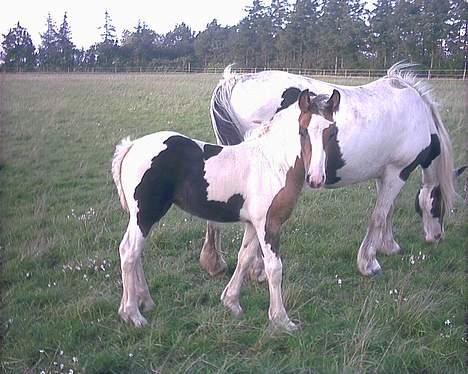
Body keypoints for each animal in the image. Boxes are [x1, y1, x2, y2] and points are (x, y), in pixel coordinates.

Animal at [112, 88, 340, 330]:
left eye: (332, 132)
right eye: (303, 131)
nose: (316, 178)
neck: (272, 163)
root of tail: (131, 146)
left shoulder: (253, 224)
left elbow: (245, 257)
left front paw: (231, 302)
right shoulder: (269, 224)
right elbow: (274, 268)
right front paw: (282, 320)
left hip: (142, 217)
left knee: (134, 253)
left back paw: (143, 302)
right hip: (145, 215)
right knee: (129, 252)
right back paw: (133, 314)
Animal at [198, 62, 464, 278]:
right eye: (440, 202)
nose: (437, 237)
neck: (417, 114)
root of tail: (236, 81)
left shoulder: (386, 173)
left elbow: (388, 211)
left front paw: (389, 246)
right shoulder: (398, 172)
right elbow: (379, 216)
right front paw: (368, 263)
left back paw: (215, 263)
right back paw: (256, 270)